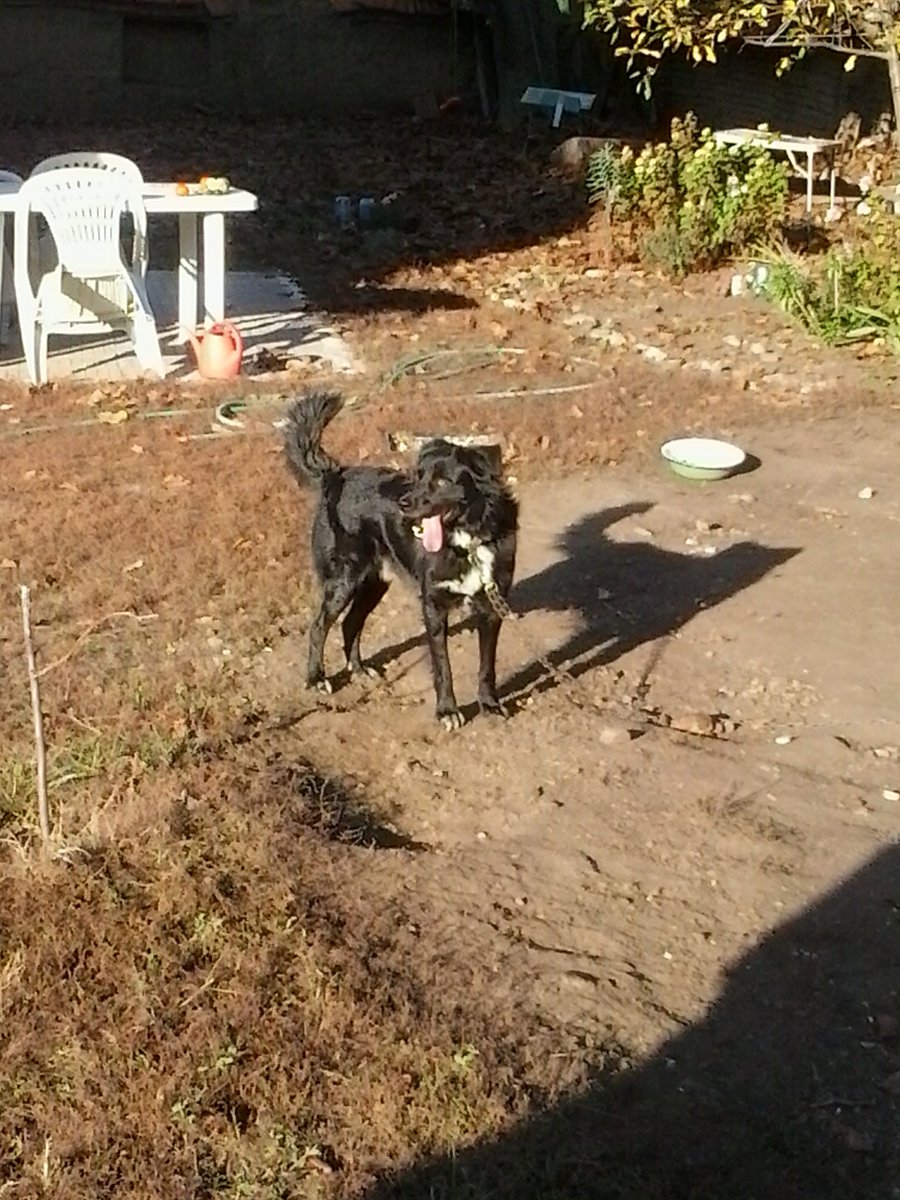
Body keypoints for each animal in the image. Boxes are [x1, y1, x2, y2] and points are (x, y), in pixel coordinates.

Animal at [283, 390, 518, 730]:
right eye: (418, 477)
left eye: (443, 481)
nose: (403, 504)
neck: (467, 540)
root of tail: (337, 475)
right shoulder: (433, 606)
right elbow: (443, 667)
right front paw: (447, 711)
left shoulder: (490, 607)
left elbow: (487, 665)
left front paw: (489, 704)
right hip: (344, 580)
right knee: (318, 626)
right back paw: (316, 678)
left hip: (373, 583)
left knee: (350, 623)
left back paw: (358, 669)